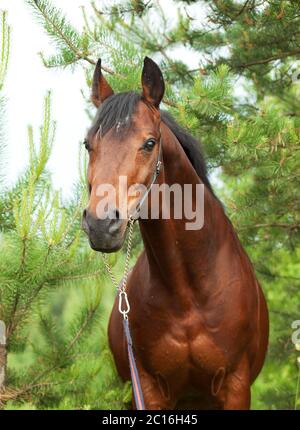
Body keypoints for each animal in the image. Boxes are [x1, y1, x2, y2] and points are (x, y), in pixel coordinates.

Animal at [82, 57, 270, 410]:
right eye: (88, 144)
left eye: (149, 143)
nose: (101, 225)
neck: (189, 293)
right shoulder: (147, 389)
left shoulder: (236, 388)